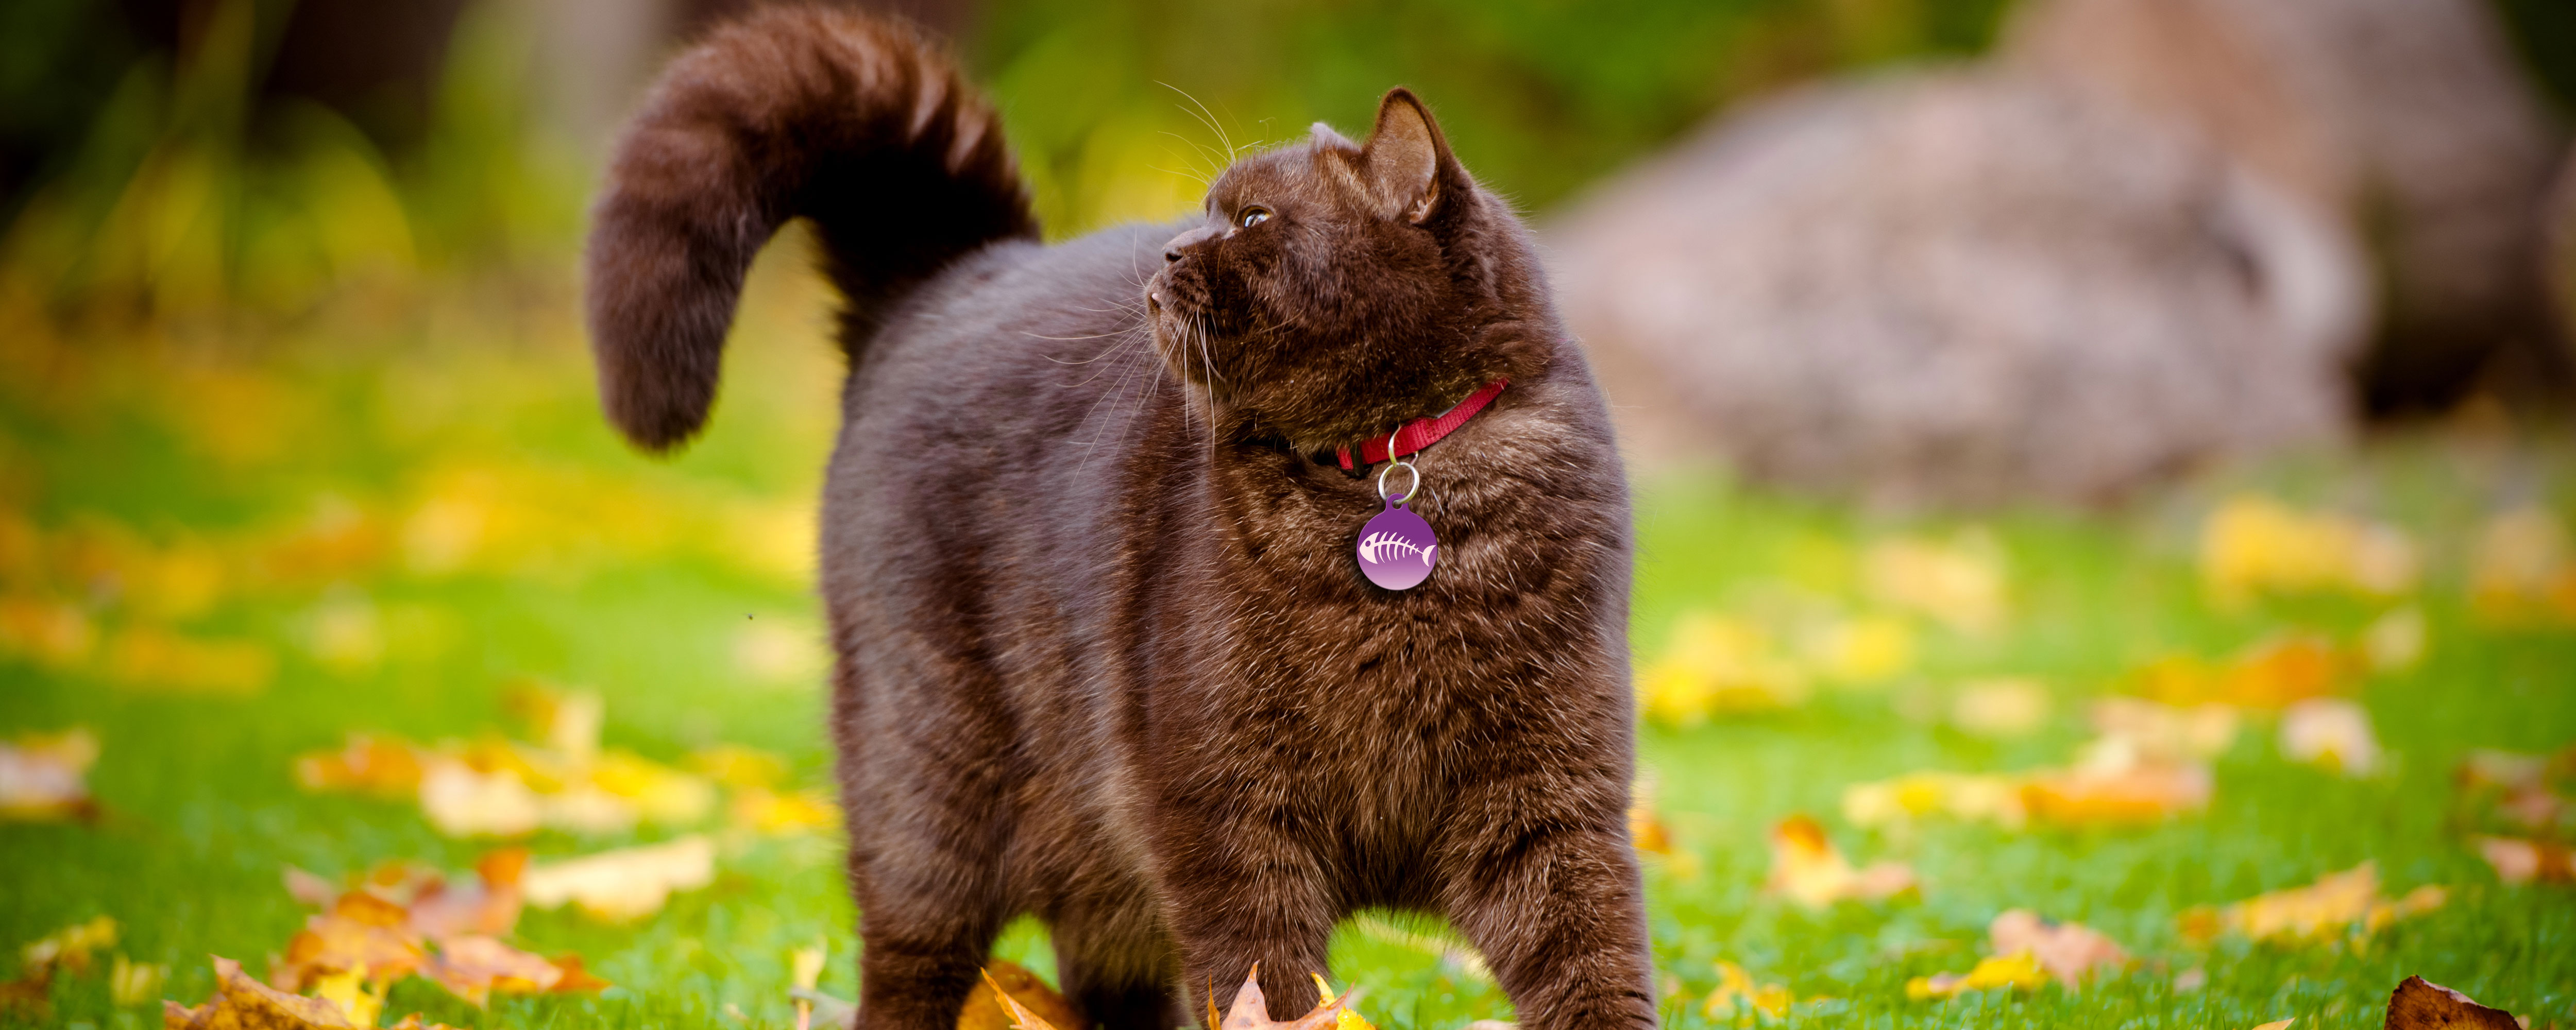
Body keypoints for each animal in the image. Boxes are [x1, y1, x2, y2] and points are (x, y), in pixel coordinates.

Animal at [585, 8, 1649, 1030]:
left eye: (1252, 217)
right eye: (1208, 210)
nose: (1174, 248)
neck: (1392, 478)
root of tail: (954, 277)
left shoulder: (1552, 814)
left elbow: (1594, 972)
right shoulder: (1224, 822)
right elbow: (1267, 991)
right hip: (923, 793)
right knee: (907, 974)